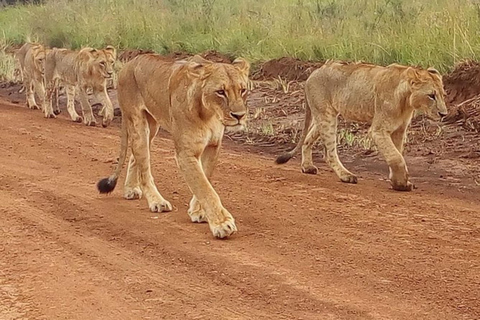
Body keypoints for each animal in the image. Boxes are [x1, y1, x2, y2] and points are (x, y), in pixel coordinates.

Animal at [95, 54, 249, 238]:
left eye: (243, 90)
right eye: (220, 92)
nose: (239, 116)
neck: (209, 114)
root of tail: (130, 62)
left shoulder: (213, 146)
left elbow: (205, 179)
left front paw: (197, 212)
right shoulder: (185, 153)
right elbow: (204, 187)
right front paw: (222, 223)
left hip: (152, 126)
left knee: (135, 156)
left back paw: (130, 189)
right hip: (138, 122)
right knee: (144, 167)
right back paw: (157, 201)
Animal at [276, 61, 448, 191]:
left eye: (443, 95)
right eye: (431, 95)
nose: (444, 114)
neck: (406, 101)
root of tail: (313, 72)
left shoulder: (399, 130)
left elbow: (396, 153)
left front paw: (398, 182)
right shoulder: (378, 130)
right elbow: (395, 156)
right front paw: (402, 183)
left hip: (324, 115)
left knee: (307, 139)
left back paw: (307, 167)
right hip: (326, 116)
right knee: (329, 153)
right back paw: (346, 176)